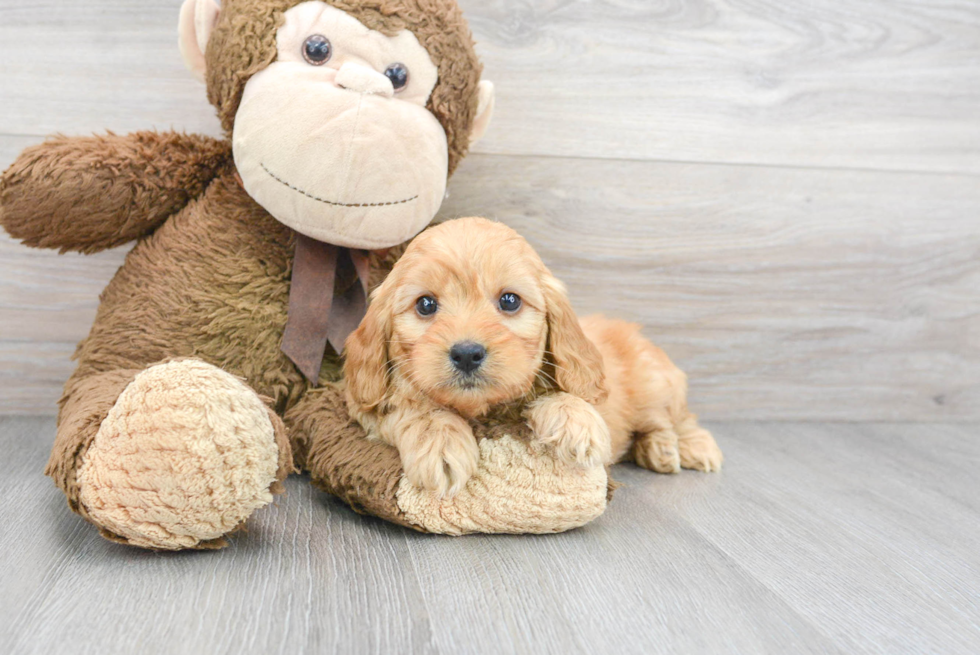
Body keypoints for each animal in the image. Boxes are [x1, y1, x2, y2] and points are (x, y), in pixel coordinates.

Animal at [342, 218, 720, 494]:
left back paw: (688, 447)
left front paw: (576, 422)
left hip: (657, 385)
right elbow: (412, 408)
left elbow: (565, 396)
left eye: (510, 301)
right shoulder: (364, 404)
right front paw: (440, 441)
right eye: (425, 304)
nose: (466, 353)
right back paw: (660, 449)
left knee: (677, 419)